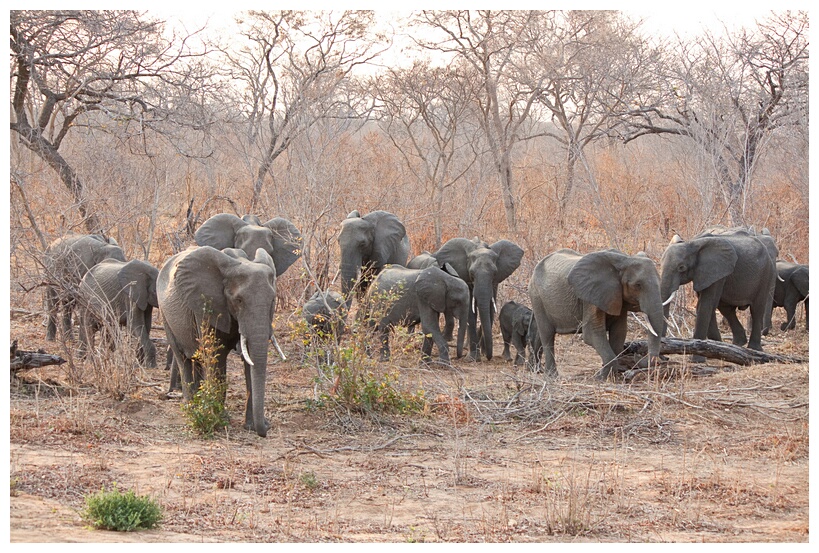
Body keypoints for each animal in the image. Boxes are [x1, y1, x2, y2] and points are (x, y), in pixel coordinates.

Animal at [159, 246, 284, 436]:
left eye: (272, 300)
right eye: (238, 300)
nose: (266, 428)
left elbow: (249, 359)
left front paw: (250, 426)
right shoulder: (206, 305)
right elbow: (215, 354)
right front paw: (220, 420)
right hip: (165, 315)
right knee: (183, 358)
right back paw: (191, 407)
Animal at [524, 248, 668, 378]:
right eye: (638, 285)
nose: (638, 355)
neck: (624, 260)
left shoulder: (616, 296)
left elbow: (619, 332)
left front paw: (611, 375)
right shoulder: (590, 297)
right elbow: (592, 333)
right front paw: (599, 377)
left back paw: (537, 370)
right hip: (536, 295)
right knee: (547, 334)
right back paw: (551, 376)